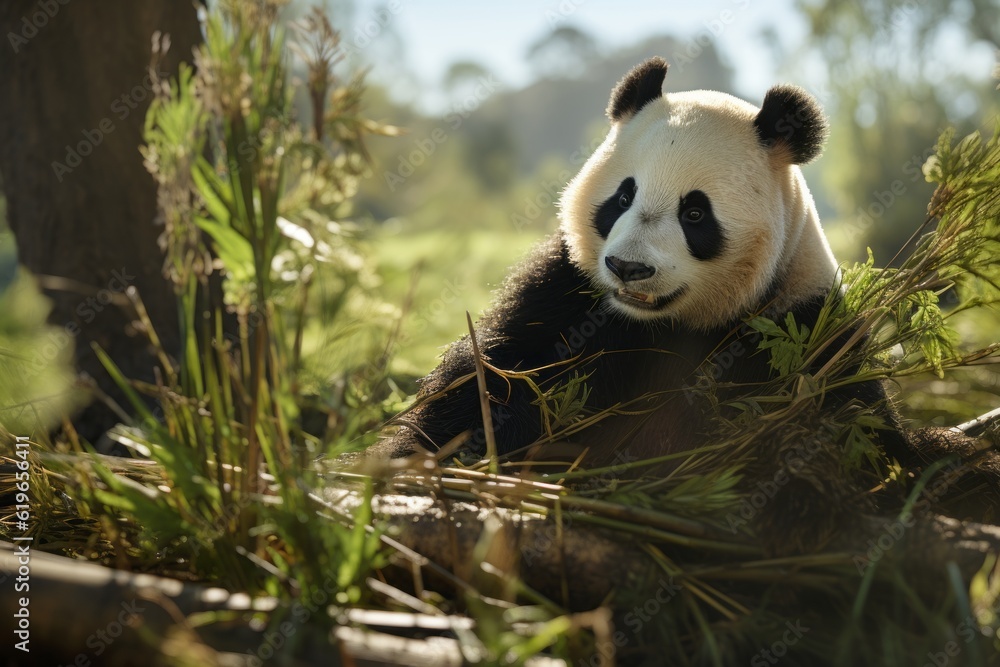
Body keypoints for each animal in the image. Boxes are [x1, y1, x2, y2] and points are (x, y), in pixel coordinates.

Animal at [374, 56, 897, 469]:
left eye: (695, 213)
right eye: (623, 197)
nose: (628, 268)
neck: (661, 323)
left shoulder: (801, 323)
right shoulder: (566, 290)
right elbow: (497, 373)